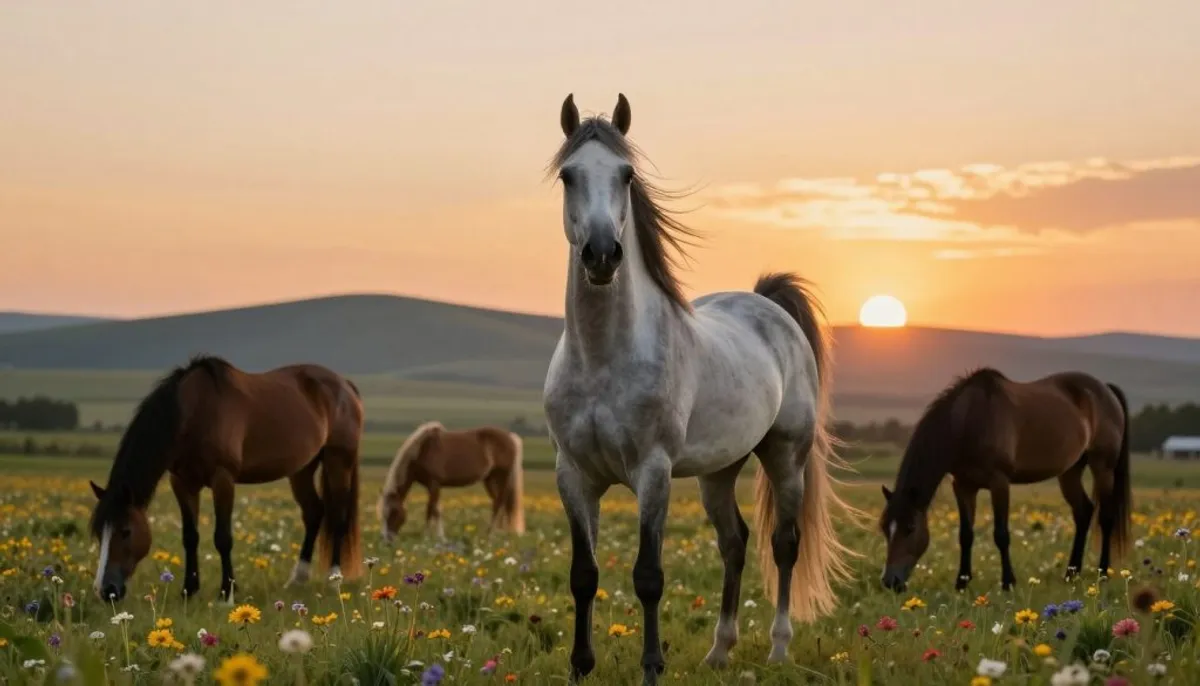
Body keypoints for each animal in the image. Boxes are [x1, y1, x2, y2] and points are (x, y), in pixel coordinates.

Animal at [88, 355, 364, 602]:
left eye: (126, 531)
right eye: (99, 533)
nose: (106, 591)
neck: (195, 412)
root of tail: (345, 385)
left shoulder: (223, 479)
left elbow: (223, 538)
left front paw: (226, 593)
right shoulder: (183, 483)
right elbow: (190, 537)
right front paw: (189, 590)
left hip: (338, 461)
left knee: (337, 516)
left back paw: (333, 578)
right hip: (302, 469)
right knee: (314, 512)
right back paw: (297, 579)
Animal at [376, 421, 525, 542]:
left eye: (394, 512)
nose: (386, 540)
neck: (422, 450)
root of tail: (511, 437)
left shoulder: (434, 484)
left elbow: (431, 510)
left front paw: (428, 537)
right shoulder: (432, 487)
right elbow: (436, 509)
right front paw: (439, 536)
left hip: (502, 476)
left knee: (500, 502)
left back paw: (491, 534)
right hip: (490, 479)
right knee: (499, 502)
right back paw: (499, 533)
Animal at [542, 93, 862, 684]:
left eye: (626, 175)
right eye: (568, 175)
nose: (602, 254)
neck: (602, 358)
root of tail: (769, 307)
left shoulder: (654, 472)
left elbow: (648, 576)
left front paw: (652, 667)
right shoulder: (573, 475)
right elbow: (584, 574)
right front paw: (580, 667)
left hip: (785, 457)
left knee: (784, 545)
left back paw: (778, 648)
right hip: (719, 471)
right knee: (733, 543)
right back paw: (719, 650)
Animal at [878, 367, 1132, 594]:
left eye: (910, 528)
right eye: (884, 528)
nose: (891, 582)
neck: (970, 421)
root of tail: (1105, 389)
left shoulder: (999, 482)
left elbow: (1001, 534)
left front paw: (1008, 583)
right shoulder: (963, 486)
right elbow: (965, 535)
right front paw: (961, 583)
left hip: (1103, 467)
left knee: (1106, 517)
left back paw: (1103, 573)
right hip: (1070, 471)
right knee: (1083, 511)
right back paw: (1071, 573)